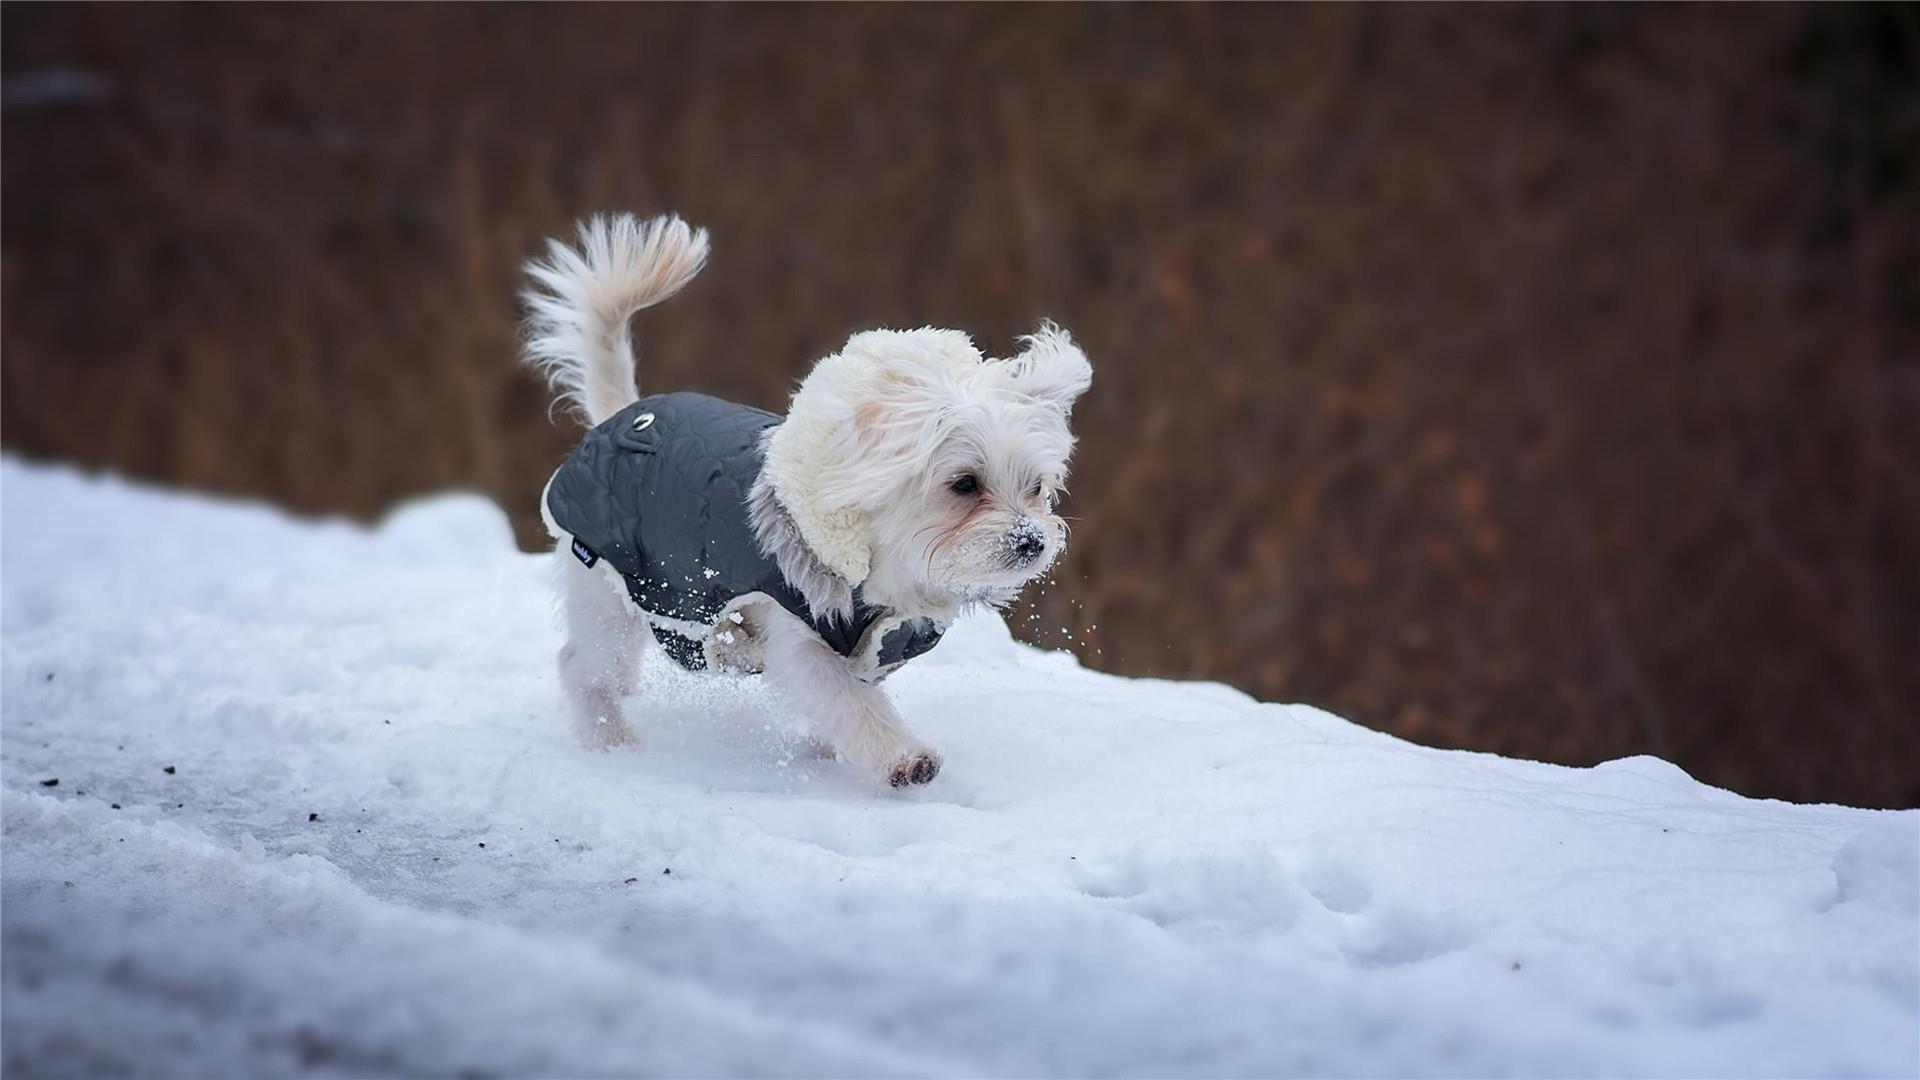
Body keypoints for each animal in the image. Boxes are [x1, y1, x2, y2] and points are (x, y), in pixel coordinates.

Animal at [526, 212, 1090, 780]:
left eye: (1036, 488)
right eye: (965, 484)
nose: (1031, 541)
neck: (887, 571)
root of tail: (620, 416)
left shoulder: (874, 648)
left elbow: (843, 706)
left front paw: (827, 751)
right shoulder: (803, 637)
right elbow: (851, 703)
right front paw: (904, 758)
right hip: (610, 589)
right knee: (583, 668)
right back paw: (610, 739)